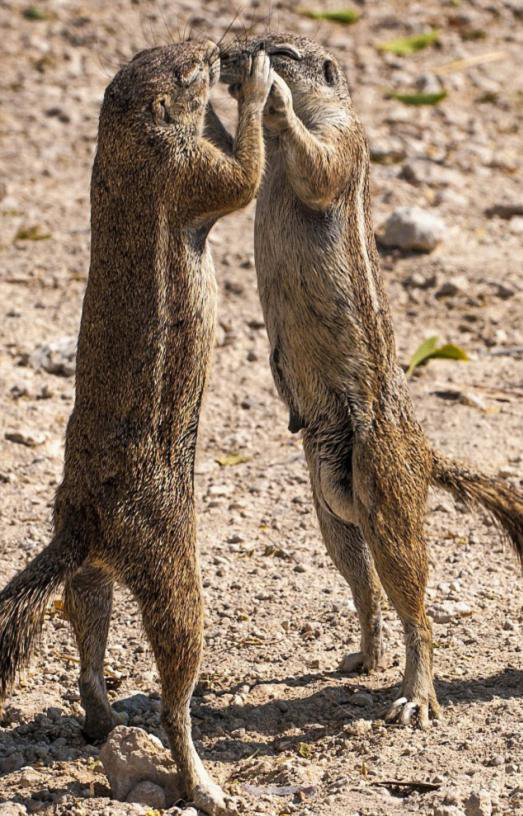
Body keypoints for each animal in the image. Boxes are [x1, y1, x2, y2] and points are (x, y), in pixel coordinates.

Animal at [1, 39, 274, 816]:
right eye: (183, 68)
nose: (215, 48)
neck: (125, 144)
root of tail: (83, 524)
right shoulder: (186, 172)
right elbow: (242, 180)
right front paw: (257, 83)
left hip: (95, 571)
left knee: (83, 631)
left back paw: (100, 718)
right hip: (172, 569)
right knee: (176, 694)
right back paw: (204, 784)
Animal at [221, 35, 523, 728]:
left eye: (282, 48)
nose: (228, 56)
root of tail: (424, 452)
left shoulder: (345, 139)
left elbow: (321, 167)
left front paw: (271, 95)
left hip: (385, 490)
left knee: (417, 606)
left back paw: (417, 694)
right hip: (332, 508)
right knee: (365, 587)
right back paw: (364, 656)